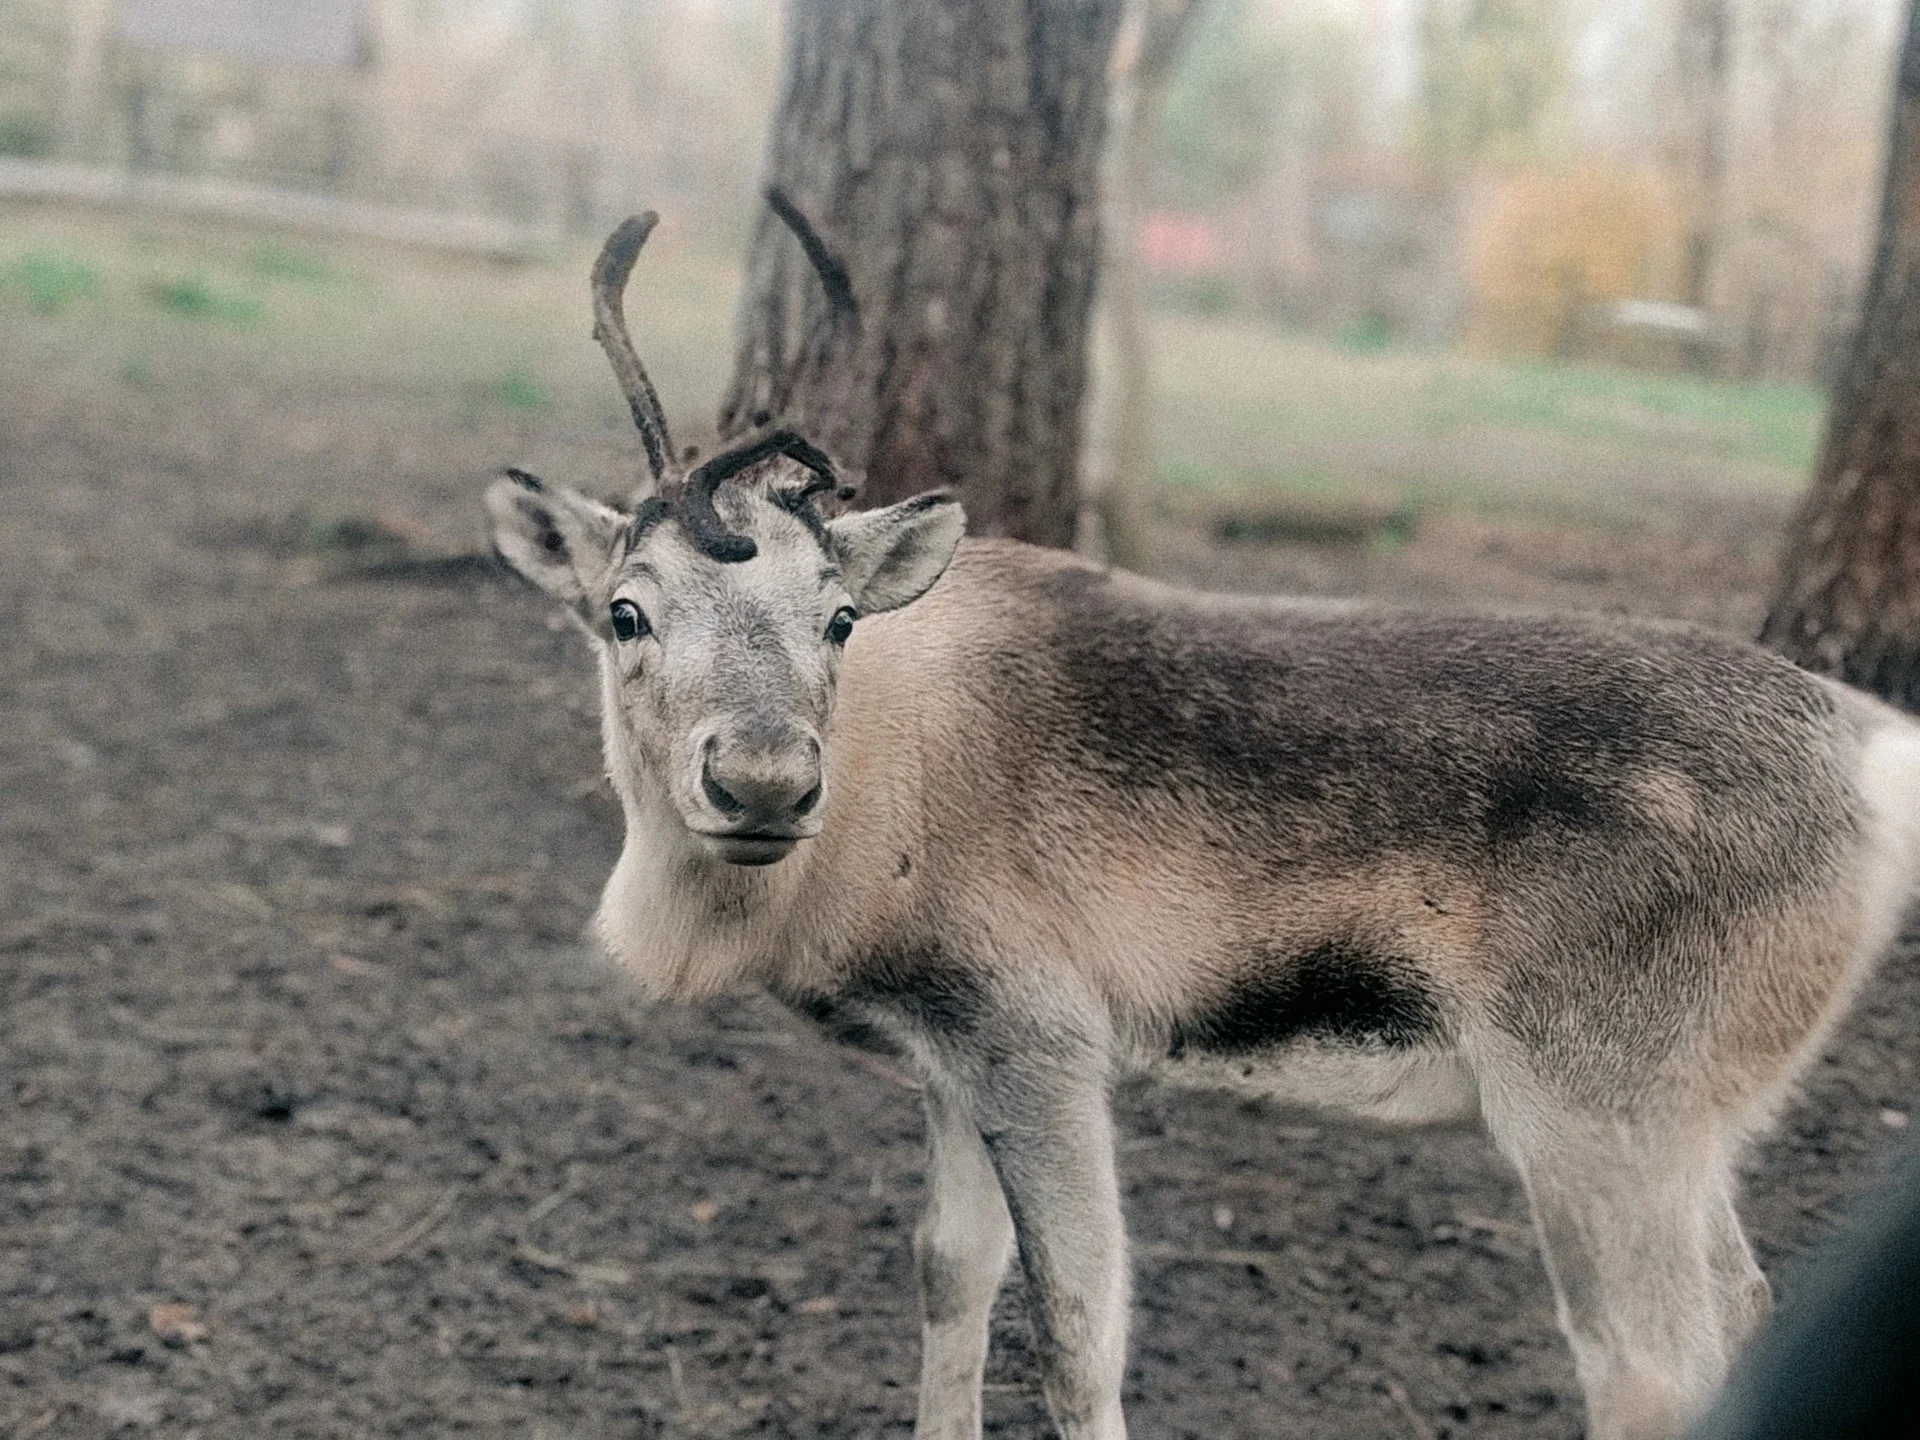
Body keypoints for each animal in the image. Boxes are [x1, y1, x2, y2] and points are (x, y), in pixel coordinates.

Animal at [482, 200, 1920, 1440]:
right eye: (623, 610)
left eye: (837, 617)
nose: (766, 783)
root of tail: (1876, 750)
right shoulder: (951, 1051)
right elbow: (950, 1278)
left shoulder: (1040, 1032)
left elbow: (1079, 1335)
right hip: (1690, 1123)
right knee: (1748, 1303)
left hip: (1602, 1107)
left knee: (1649, 1371)